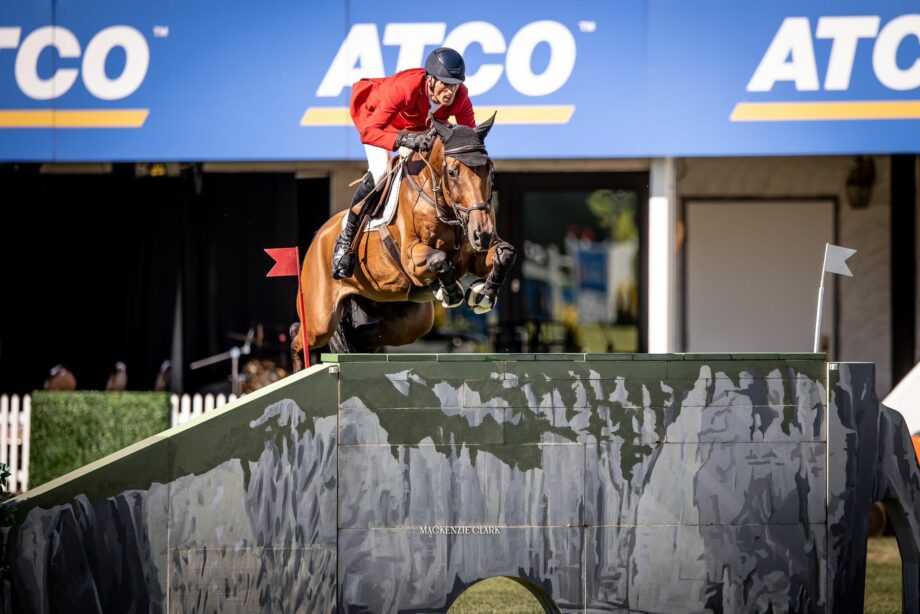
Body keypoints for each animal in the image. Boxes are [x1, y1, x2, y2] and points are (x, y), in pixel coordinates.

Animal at [292, 114, 512, 370]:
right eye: (453, 173)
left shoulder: (474, 257)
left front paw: (485, 293)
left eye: (490, 171)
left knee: (364, 336)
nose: (482, 233)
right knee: (299, 335)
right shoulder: (411, 259)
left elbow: (505, 253)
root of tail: (317, 238)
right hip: (320, 319)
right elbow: (439, 258)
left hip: (406, 319)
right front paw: (451, 293)